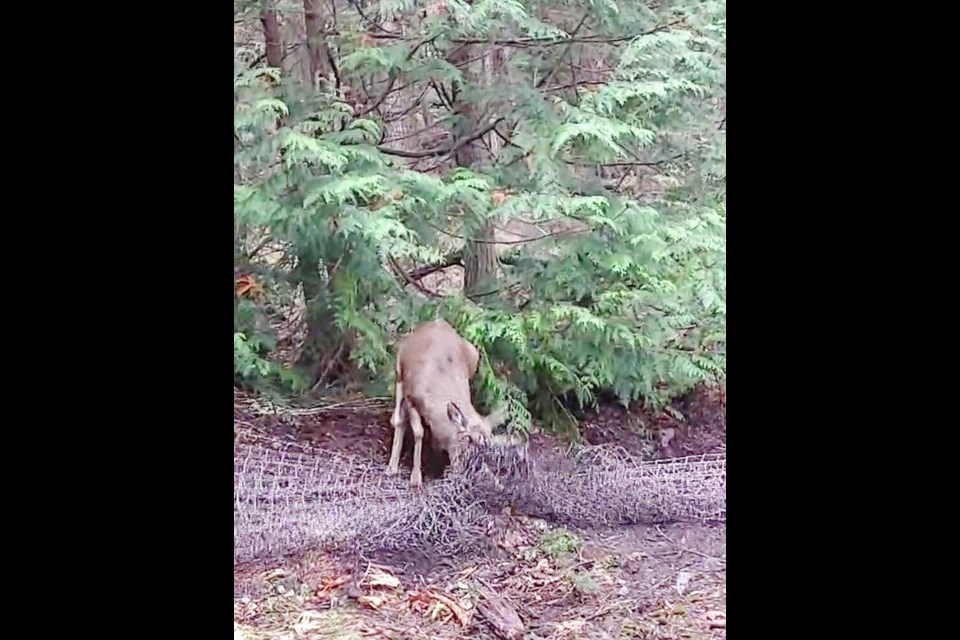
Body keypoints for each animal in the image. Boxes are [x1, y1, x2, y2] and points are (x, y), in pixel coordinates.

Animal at [384, 318, 506, 488]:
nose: (472, 472)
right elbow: (418, 432)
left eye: (489, 446)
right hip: (399, 370)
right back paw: (392, 467)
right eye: (468, 439)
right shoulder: (411, 397)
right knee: (398, 419)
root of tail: (438, 321)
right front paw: (416, 478)